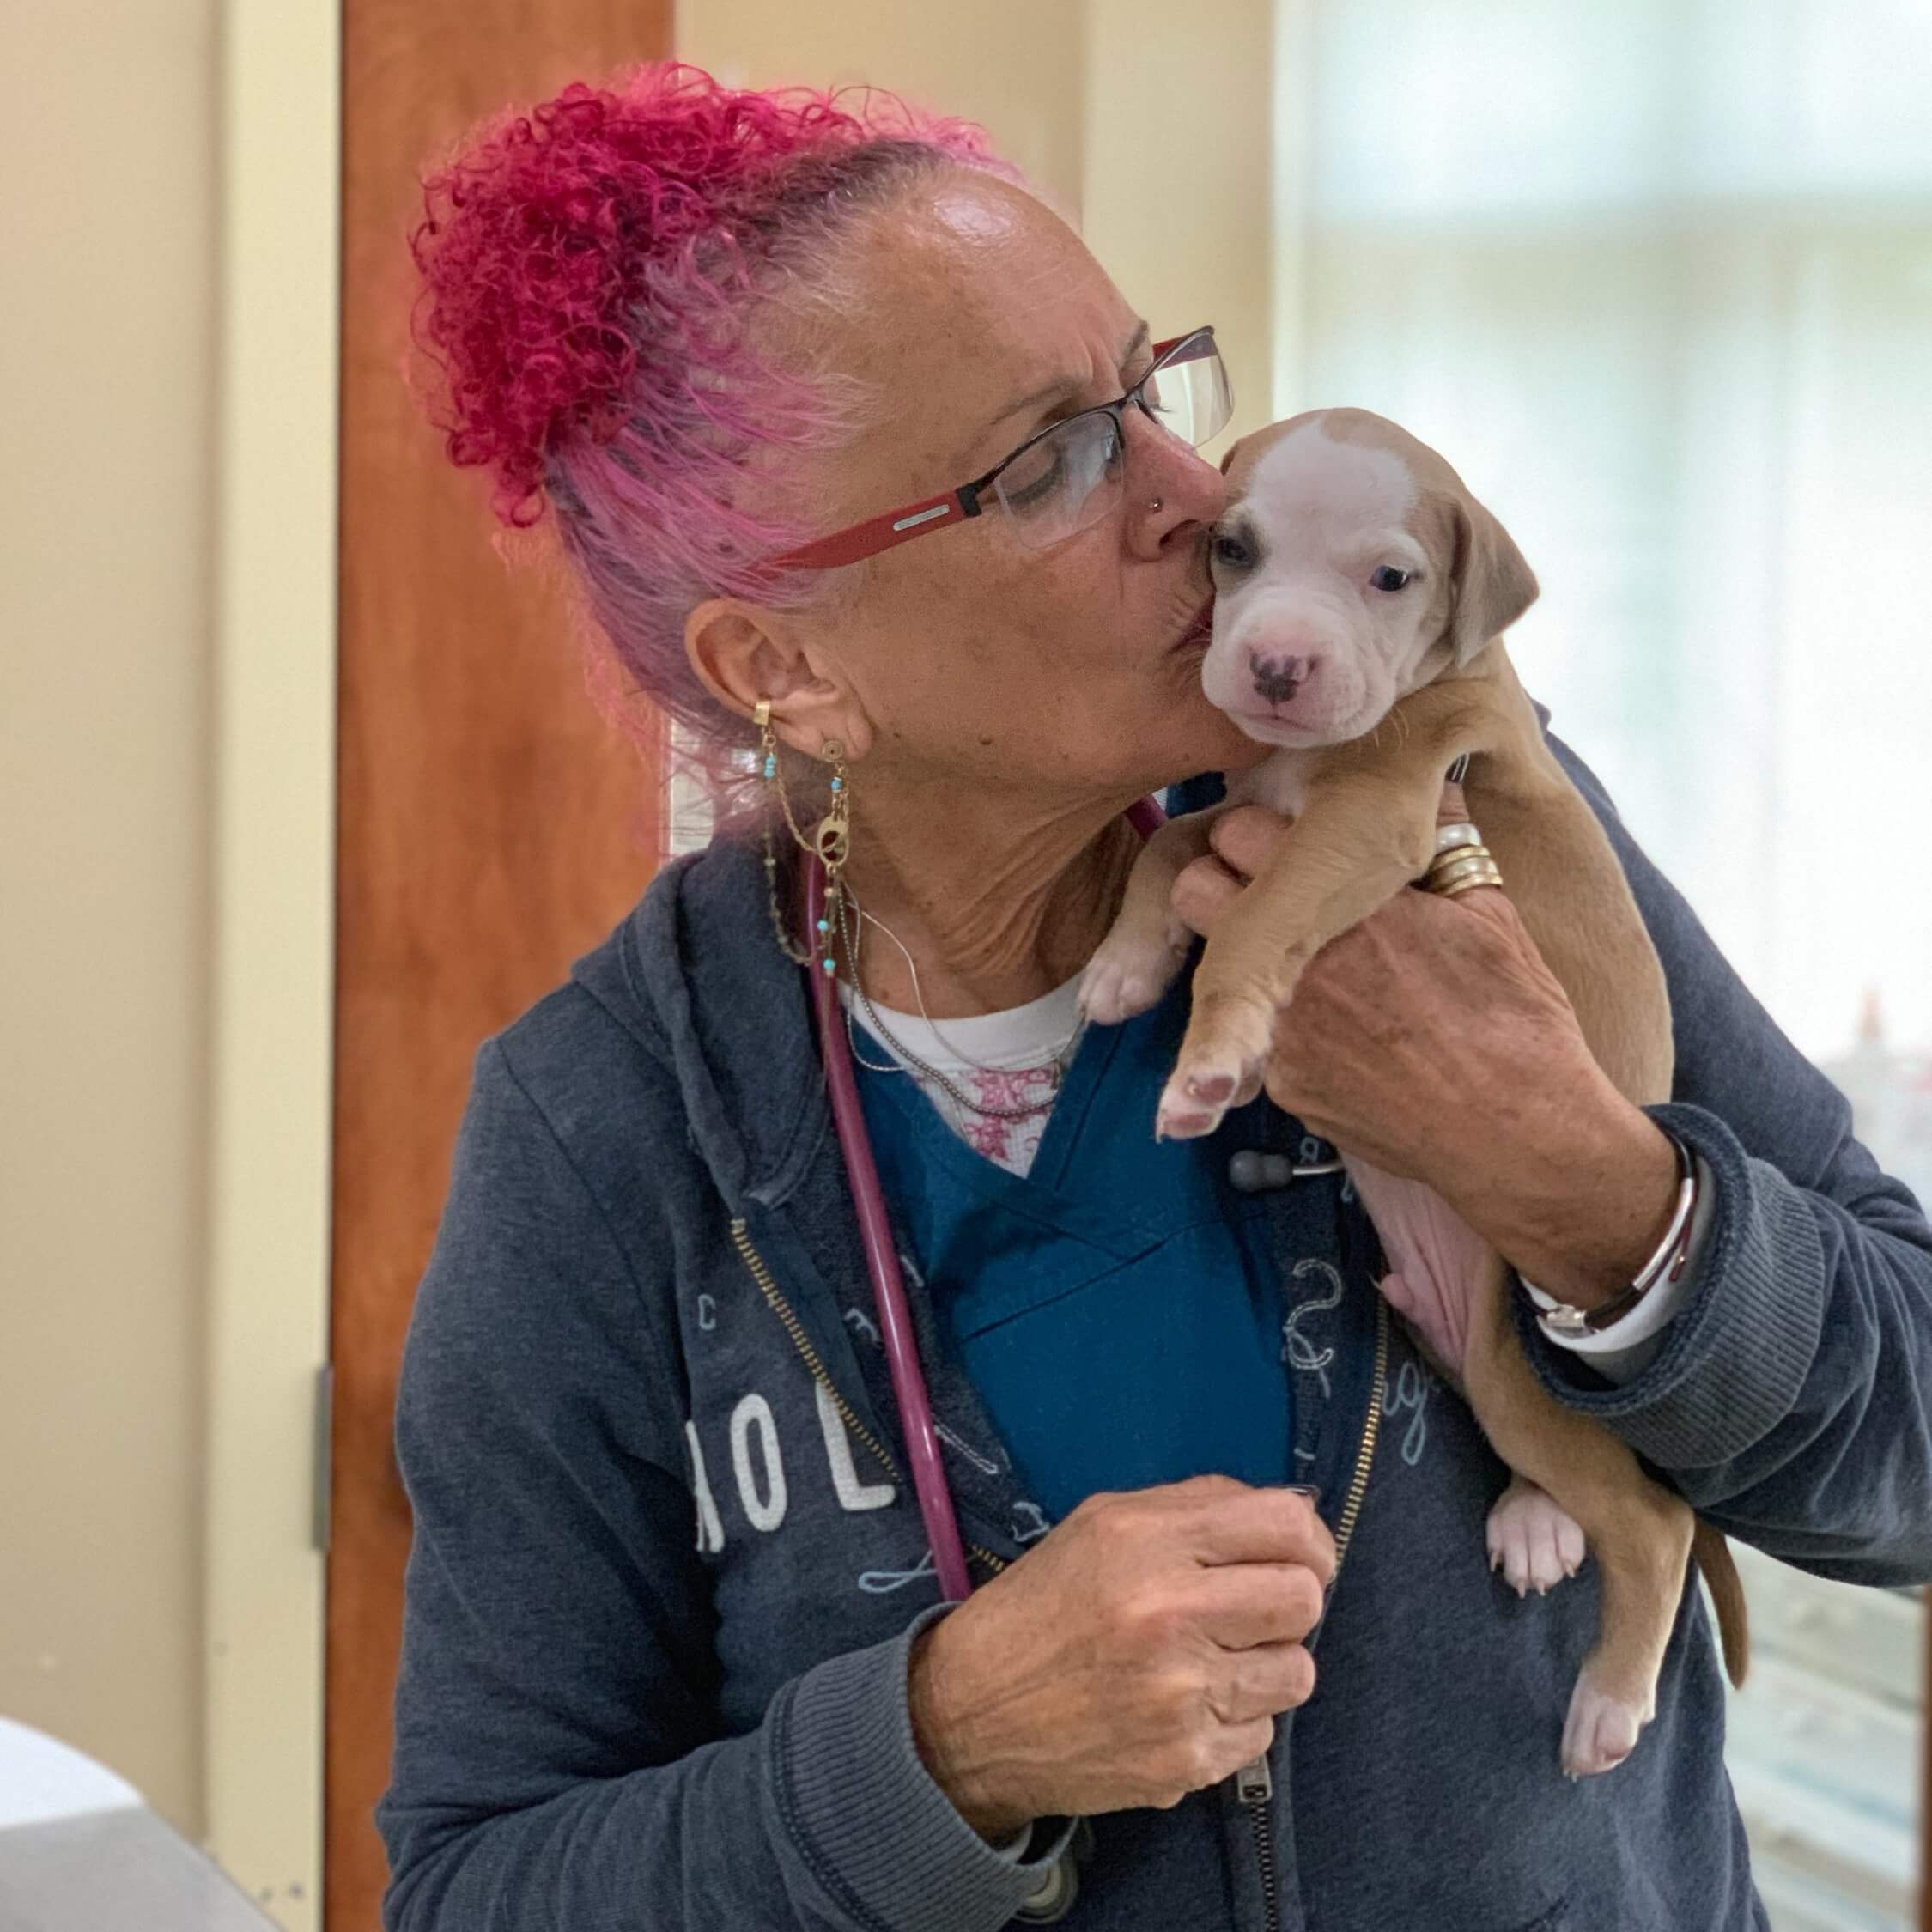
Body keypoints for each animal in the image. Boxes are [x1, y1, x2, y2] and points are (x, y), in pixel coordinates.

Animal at [1090, 407, 1754, 1777]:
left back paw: (1608, 1702)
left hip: (1514, 1353)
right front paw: (1127, 962)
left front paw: (1213, 1055)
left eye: (1390, 578)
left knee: (1651, 1523)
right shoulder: (1255, 809)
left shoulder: (1370, 823)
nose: (1275, 665)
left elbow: (1253, 926)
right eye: (1232, 549)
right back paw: (1536, 1521)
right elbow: (1174, 845)